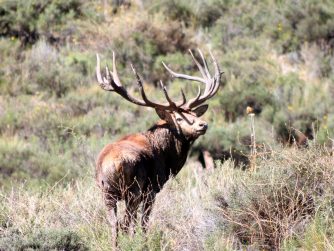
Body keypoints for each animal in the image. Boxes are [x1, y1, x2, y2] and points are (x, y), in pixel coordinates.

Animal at [95, 48, 223, 242]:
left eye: (194, 114)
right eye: (178, 118)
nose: (203, 125)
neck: (166, 156)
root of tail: (114, 165)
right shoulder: (153, 188)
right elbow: (144, 222)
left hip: (107, 193)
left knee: (115, 224)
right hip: (134, 190)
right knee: (127, 222)